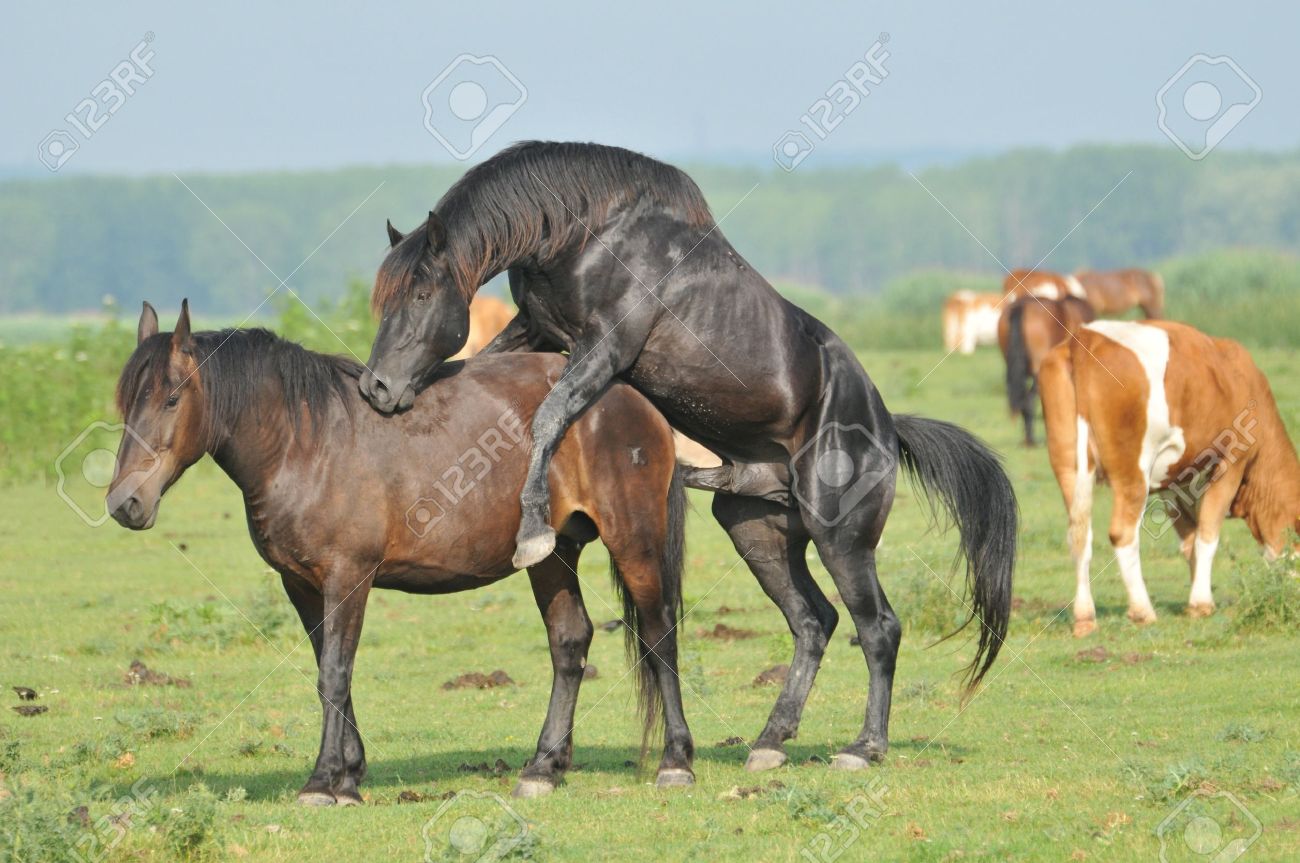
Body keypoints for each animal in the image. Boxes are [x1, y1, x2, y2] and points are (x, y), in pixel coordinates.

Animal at [107, 301, 696, 800]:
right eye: (125, 403)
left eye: (172, 398)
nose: (124, 503)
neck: (306, 442)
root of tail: (629, 397)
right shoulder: (301, 585)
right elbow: (329, 670)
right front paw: (349, 772)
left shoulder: (349, 577)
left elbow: (335, 672)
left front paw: (324, 781)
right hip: (551, 553)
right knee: (569, 642)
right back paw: (543, 768)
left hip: (634, 539)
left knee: (659, 633)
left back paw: (676, 761)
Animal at [361, 141, 1019, 769]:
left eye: (421, 291)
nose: (378, 388)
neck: (590, 232)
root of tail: (884, 427)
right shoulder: (538, 329)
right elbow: (487, 365)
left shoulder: (605, 348)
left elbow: (548, 415)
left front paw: (531, 530)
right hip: (757, 531)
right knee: (814, 622)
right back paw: (770, 741)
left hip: (841, 538)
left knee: (877, 627)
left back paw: (864, 748)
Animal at [1034, 319, 1300, 636]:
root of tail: (1085, 337)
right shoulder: (1231, 464)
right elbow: (1206, 535)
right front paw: (1201, 603)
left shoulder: (1175, 481)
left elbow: (1189, 538)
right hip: (1132, 472)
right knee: (1122, 533)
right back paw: (1142, 610)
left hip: (1067, 466)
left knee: (1079, 536)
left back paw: (1085, 617)